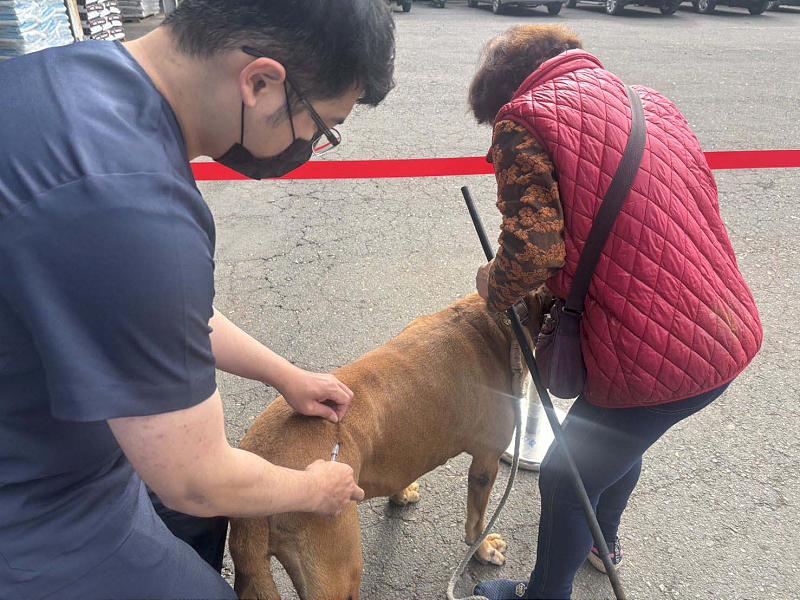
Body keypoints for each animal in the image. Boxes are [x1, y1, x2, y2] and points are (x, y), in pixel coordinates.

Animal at [230, 290, 551, 600]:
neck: (500, 320)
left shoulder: (403, 452)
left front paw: (401, 495)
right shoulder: (486, 460)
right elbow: (476, 520)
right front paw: (482, 549)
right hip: (340, 573)